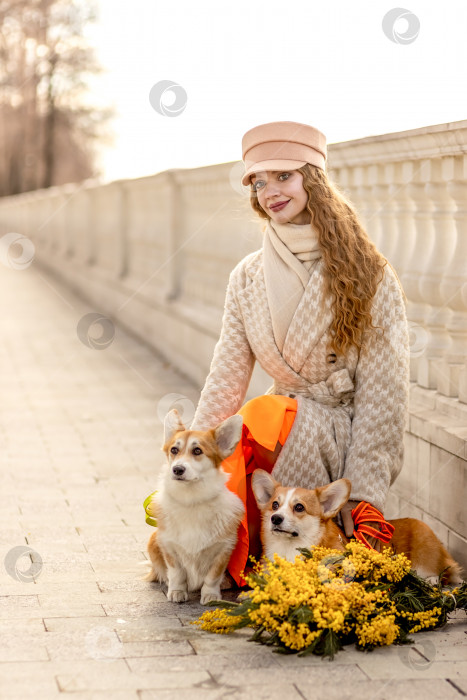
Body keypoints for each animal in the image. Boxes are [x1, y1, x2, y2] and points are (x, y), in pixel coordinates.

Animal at [146, 408, 245, 604]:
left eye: (197, 450)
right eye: (174, 450)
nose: (177, 469)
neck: (191, 500)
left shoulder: (223, 548)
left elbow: (212, 577)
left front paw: (211, 596)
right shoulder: (168, 546)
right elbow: (177, 573)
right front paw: (176, 592)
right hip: (152, 540)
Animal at [252, 470, 460, 584]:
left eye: (299, 507)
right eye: (275, 505)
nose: (276, 519)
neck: (289, 547)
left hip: (425, 554)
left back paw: (431, 580)